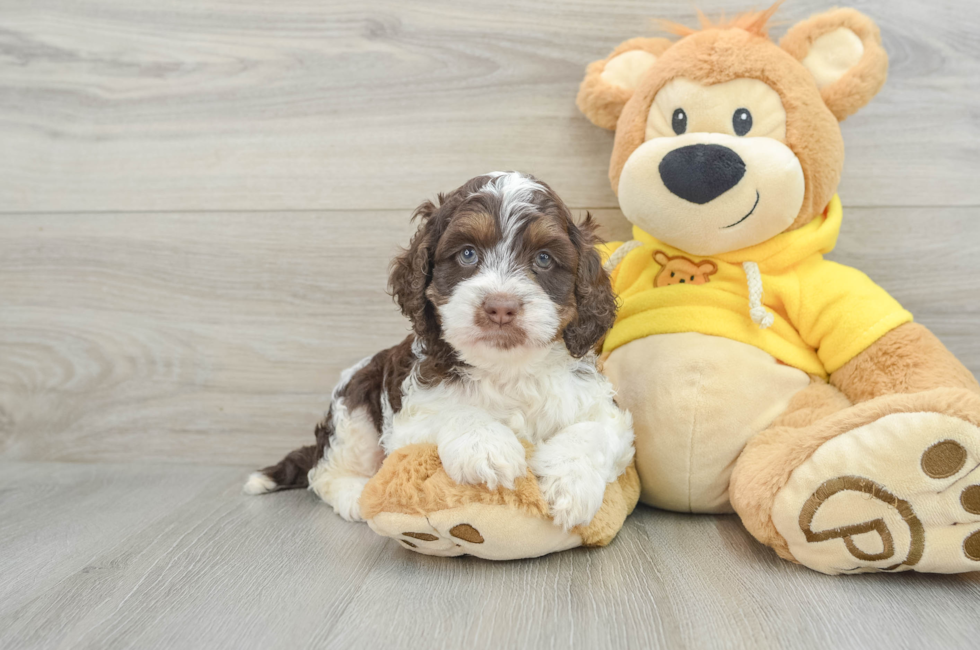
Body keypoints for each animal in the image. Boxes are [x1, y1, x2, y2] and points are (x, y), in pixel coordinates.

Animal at [241, 171, 632, 528]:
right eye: (468, 254)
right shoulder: (406, 422)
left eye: (544, 259)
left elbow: (594, 430)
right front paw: (486, 447)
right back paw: (356, 494)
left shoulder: (603, 409)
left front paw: (571, 484)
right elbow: (450, 410)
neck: (506, 368)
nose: (500, 307)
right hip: (355, 408)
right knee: (323, 473)